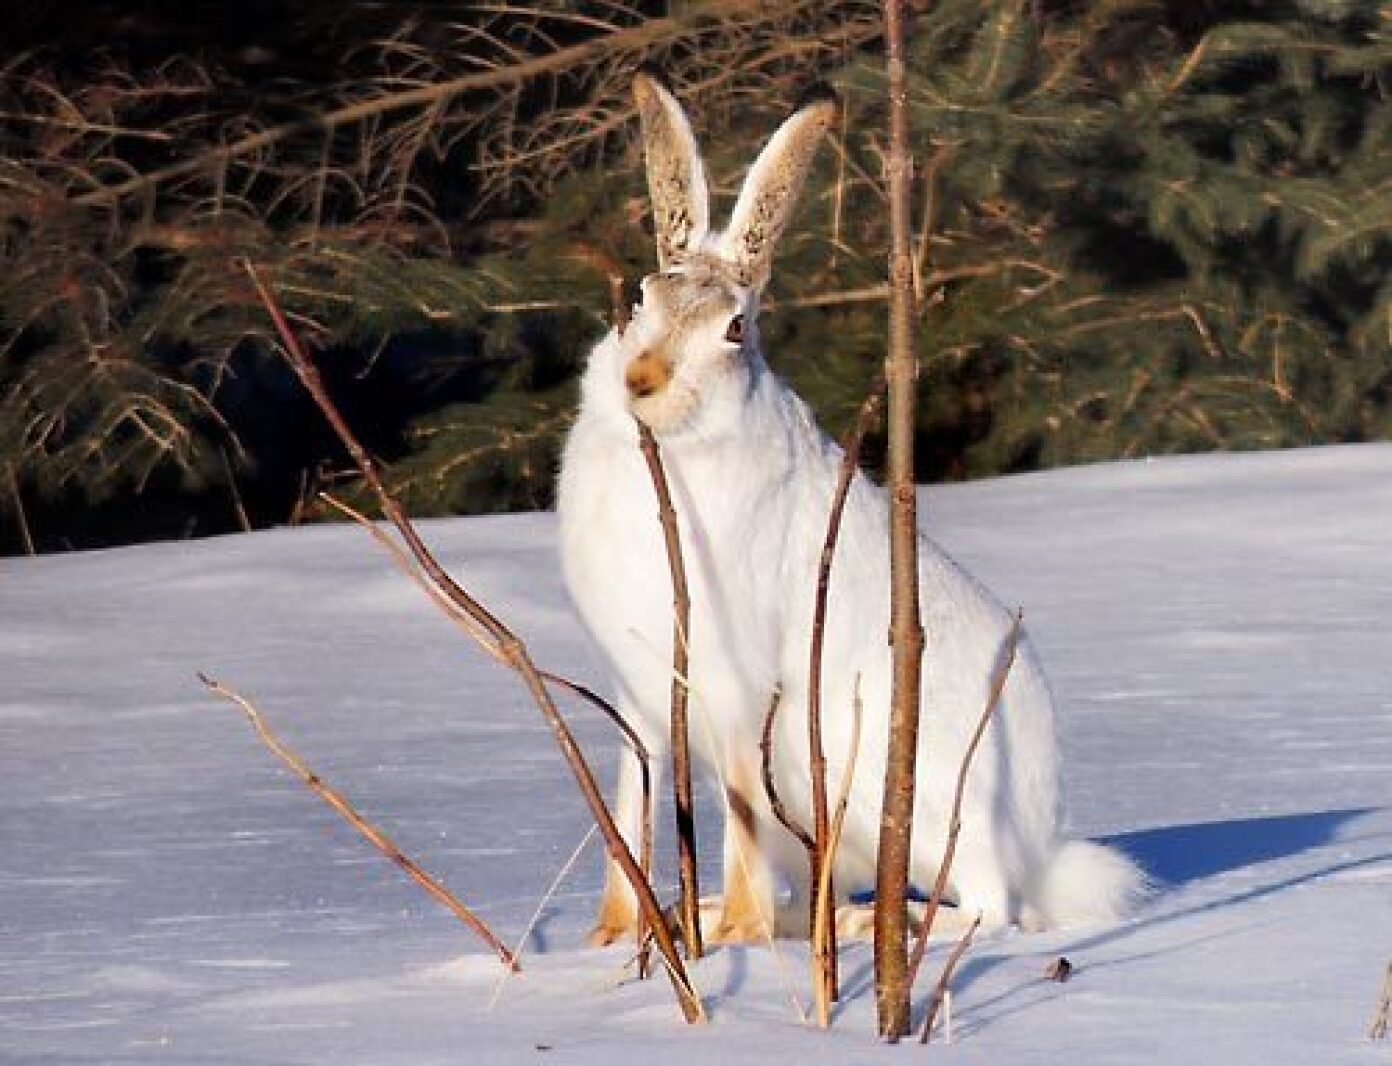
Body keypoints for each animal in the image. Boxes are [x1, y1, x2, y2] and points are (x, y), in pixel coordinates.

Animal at [556, 71, 1144, 947]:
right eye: (640, 297)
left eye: (736, 328)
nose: (643, 379)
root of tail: (1039, 850)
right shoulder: (640, 699)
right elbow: (632, 802)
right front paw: (615, 935)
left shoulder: (735, 692)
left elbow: (737, 812)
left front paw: (733, 935)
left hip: (897, 789)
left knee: (988, 908)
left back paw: (870, 927)